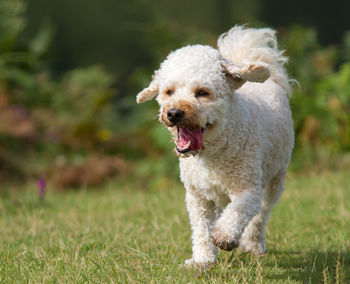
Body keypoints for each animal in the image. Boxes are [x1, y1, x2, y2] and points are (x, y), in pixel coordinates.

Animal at [135, 25, 294, 266]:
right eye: (169, 91)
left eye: (202, 92)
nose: (173, 113)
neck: (213, 152)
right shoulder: (198, 197)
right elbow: (201, 229)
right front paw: (202, 259)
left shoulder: (248, 189)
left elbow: (237, 211)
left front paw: (224, 236)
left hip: (275, 178)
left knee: (260, 215)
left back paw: (253, 244)